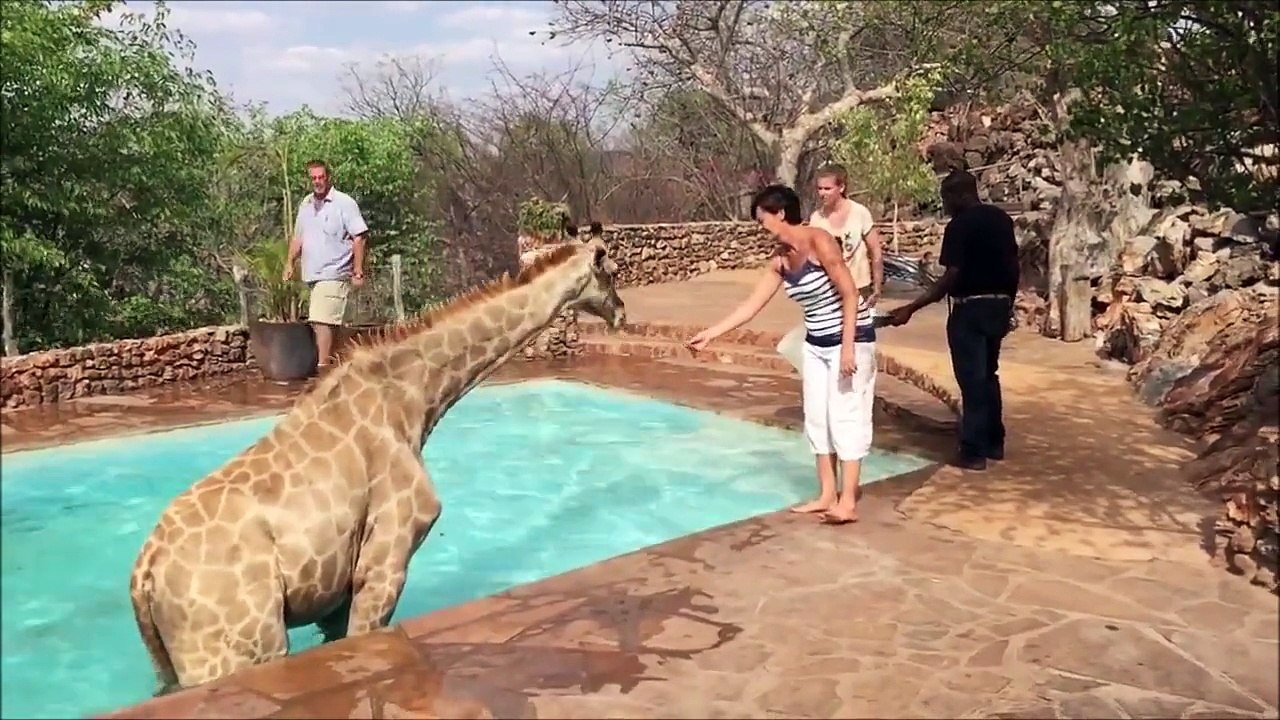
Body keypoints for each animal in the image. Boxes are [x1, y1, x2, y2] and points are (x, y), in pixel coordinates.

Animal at [128, 226, 626, 694]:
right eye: (611, 270)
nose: (621, 313)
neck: (414, 398)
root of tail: (143, 577)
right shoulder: (385, 560)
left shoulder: (336, 591)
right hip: (241, 646)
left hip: (180, 660)